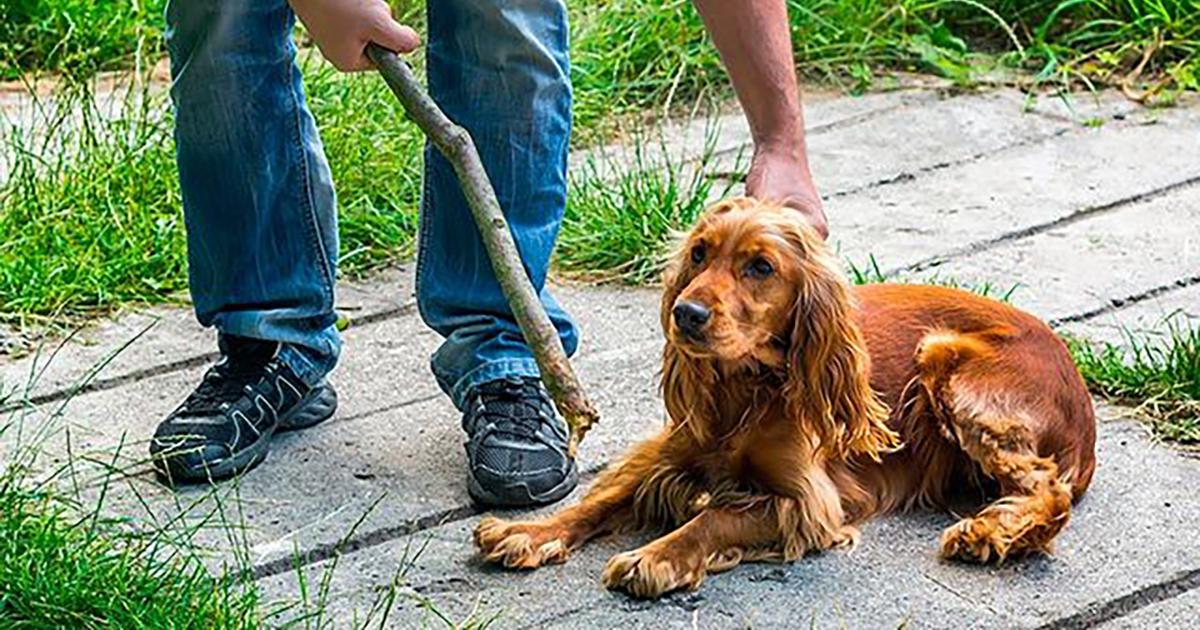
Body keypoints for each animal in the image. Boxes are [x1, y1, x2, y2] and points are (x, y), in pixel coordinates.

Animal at [470, 195, 1099, 595]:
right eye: (699, 253)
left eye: (760, 267)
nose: (686, 314)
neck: (745, 389)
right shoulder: (669, 453)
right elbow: (600, 500)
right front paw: (529, 532)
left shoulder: (810, 502)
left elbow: (715, 516)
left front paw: (656, 555)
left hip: (949, 365)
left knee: (1048, 491)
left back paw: (988, 531)